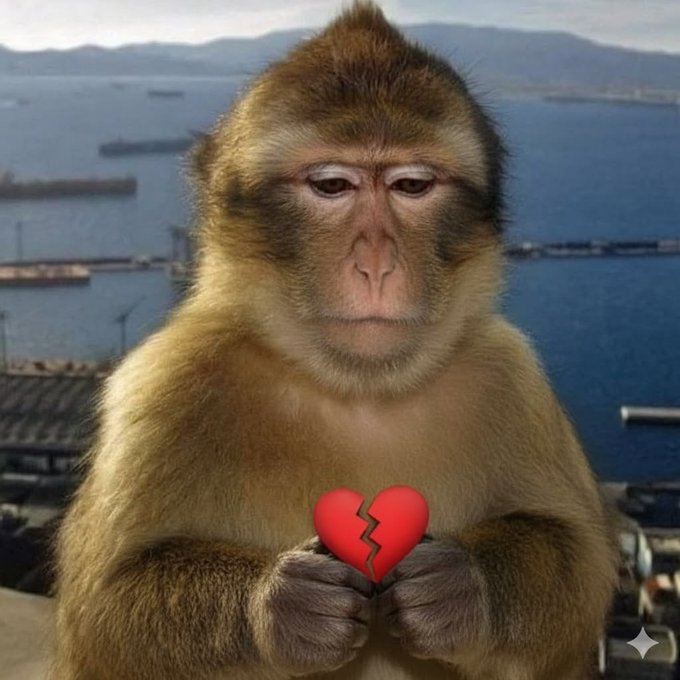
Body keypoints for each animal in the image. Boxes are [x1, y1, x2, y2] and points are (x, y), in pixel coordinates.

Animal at [51, 3, 619, 679]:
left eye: (410, 185)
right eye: (331, 186)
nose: (375, 262)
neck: (357, 393)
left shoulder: (510, 375)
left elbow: (580, 568)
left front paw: (460, 591)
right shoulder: (164, 386)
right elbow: (103, 617)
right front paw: (282, 606)